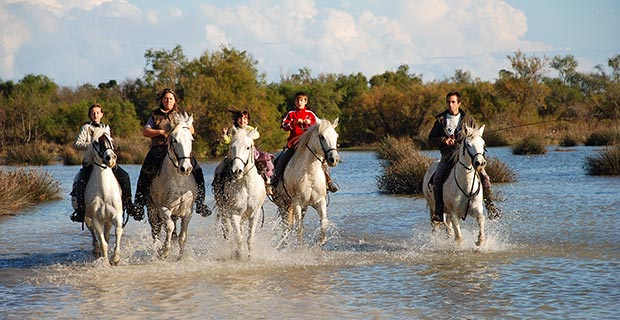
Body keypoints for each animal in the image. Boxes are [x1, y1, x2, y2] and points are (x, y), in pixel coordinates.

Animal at [84, 127, 124, 264]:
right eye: (96, 142)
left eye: (111, 139)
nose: (110, 158)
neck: (104, 192)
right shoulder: (96, 219)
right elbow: (103, 243)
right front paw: (106, 261)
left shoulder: (116, 216)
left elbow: (118, 232)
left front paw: (116, 258)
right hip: (88, 217)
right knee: (92, 230)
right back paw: (96, 249)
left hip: (107, 220)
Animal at [147, 111, 195, 258]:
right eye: (174, 140)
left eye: (191, 140)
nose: (186, 168)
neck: (178, 180)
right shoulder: (164, 208)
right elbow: (169, 227)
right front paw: (164, 251)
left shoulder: (188, 212)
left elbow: (182, 235)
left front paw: (180, 256)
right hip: (152, 210)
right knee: (155, 230)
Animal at [214, 126, 266, 258]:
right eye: (232, 147)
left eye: (248, 147)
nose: (237, 171)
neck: (246, 185)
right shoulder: (234, 214)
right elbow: (238, 238)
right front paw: (239, 255)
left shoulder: (255, 214)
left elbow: (249, 238)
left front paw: (249, 257)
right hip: (224, 212)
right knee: (228, 233)